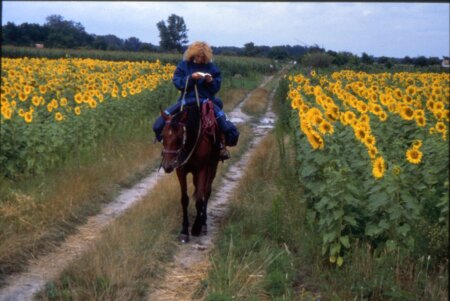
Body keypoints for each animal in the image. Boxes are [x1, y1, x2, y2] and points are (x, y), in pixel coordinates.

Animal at [159, 102, 221, 243]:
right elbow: (184, 199)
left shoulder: (202, 169)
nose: (167, 166)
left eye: (179, 137)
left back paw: (203, 223)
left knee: (206, 192)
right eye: (163, 135)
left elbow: (199, 199)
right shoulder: (180, 171)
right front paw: (184, 231)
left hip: (212, 167)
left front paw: (196, 228)